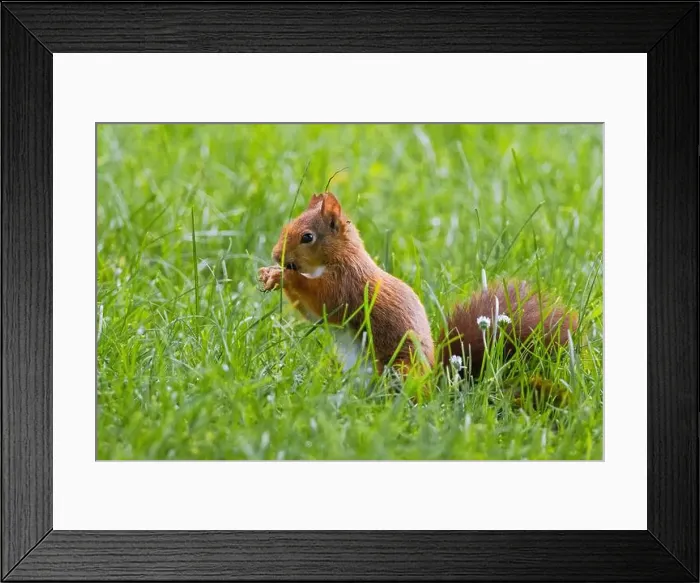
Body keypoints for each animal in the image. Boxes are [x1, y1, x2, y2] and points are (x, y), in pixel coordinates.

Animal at [258, 192, 578, 384]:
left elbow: (323, 301)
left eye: (307, 237)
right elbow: (313, 314)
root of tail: (436, 385)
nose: (276, 255)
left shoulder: (347, 285)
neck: (340, 257)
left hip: (401, 367)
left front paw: (286, 277)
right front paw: (270, 276)